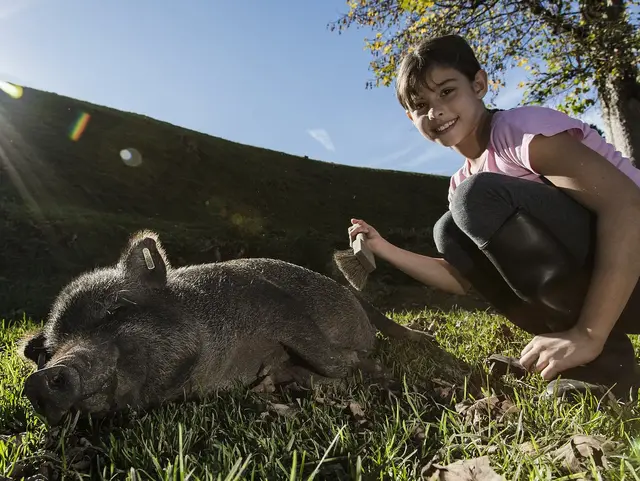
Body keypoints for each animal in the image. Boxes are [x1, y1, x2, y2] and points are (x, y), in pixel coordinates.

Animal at [18, 230, 430, 424]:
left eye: (115, 311)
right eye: (48, 352)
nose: (38, 379)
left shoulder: (278, 305)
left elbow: (330, 357)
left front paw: (371, 367)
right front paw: (278, 382)